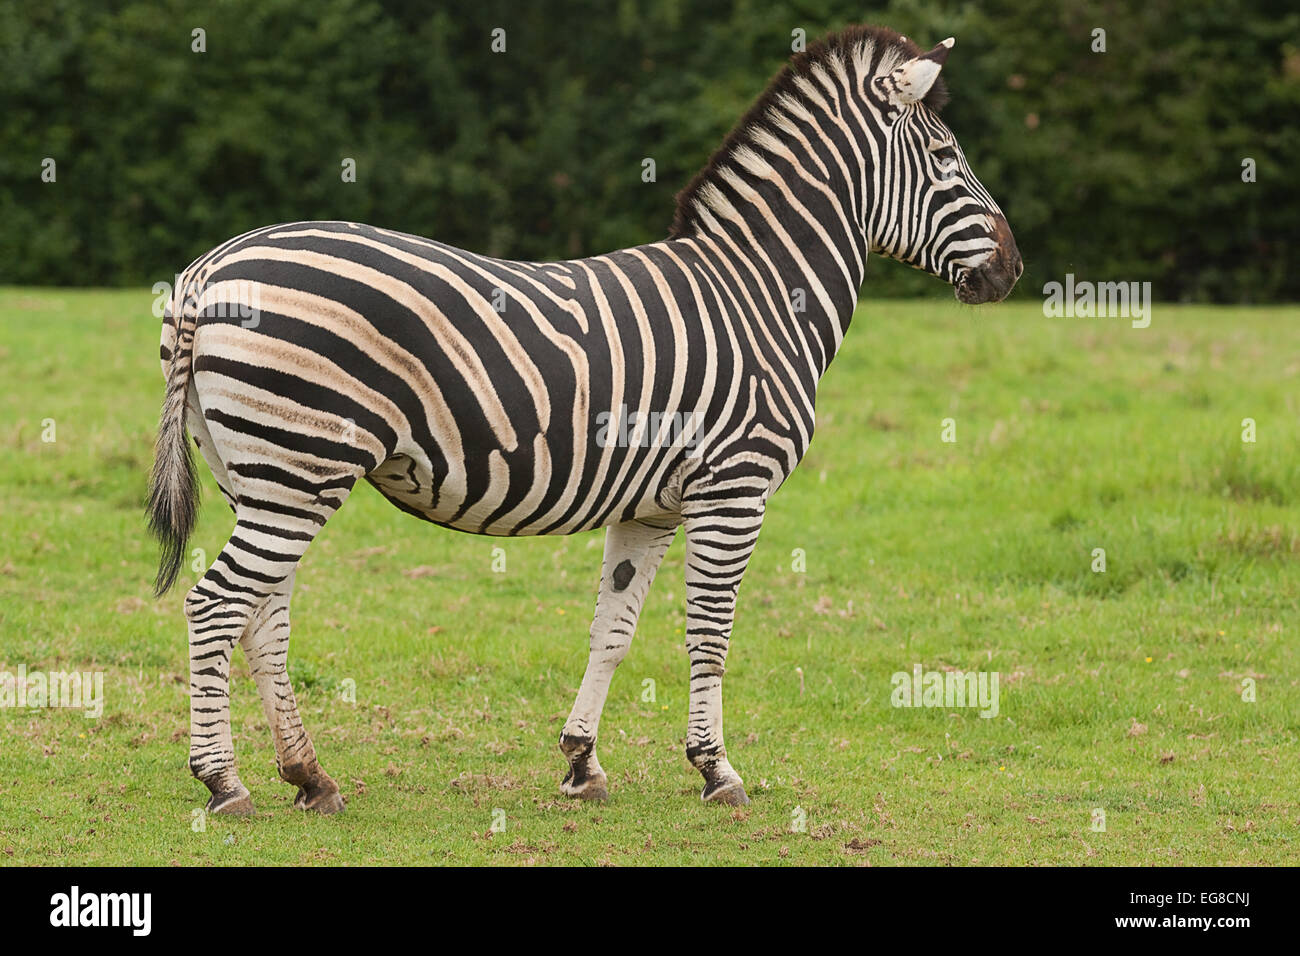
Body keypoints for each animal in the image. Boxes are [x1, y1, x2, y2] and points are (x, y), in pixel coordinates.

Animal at [149, 25, 1021, 815]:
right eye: (948, 158)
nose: (1013, 269)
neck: (763, 294)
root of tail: (207, 271)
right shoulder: (735, 487)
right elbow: (710, 631)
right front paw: (717, 771)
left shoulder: (651, 506)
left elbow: (614, 628)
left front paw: (581, 764)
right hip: (299, 469)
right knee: (215, 605)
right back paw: (224, 783)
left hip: (261, 475)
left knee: (262, 617)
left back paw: (309, 776)